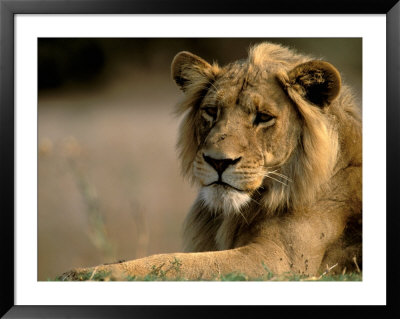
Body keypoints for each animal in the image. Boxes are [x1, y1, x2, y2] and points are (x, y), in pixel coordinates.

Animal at [63, 42, 362, 280]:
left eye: (263, 117)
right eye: (211, 111)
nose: (218, 162)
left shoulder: (282, 260)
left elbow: (175, 264)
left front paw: (87, 273)